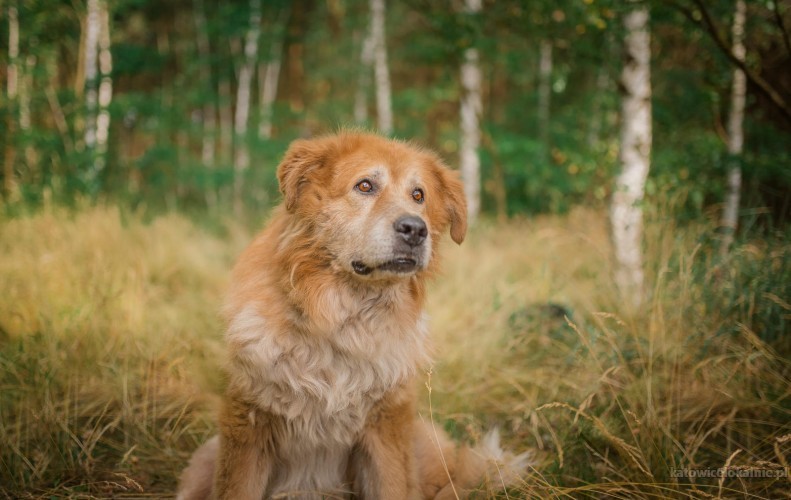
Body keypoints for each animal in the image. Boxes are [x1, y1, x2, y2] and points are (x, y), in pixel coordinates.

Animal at [176, 131, 528, 498]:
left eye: (418, 195)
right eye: (365, 186)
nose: (416, 230)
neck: (343, 320)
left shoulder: (386, 429)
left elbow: (391, 487)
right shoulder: (247, 423)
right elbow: (237, 488)